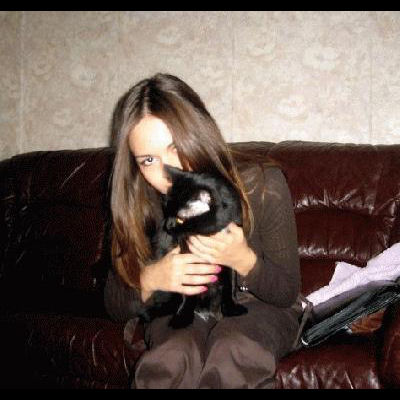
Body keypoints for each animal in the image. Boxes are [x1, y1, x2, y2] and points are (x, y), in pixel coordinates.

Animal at [139, 164, 248, 329]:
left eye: (180, 219)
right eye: (166, 211)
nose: (167, 226)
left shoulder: (231, 251)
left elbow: (231, 282)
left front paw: (232, 308)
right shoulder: (186, 260)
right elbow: (189, 291)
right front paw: (182, 317)